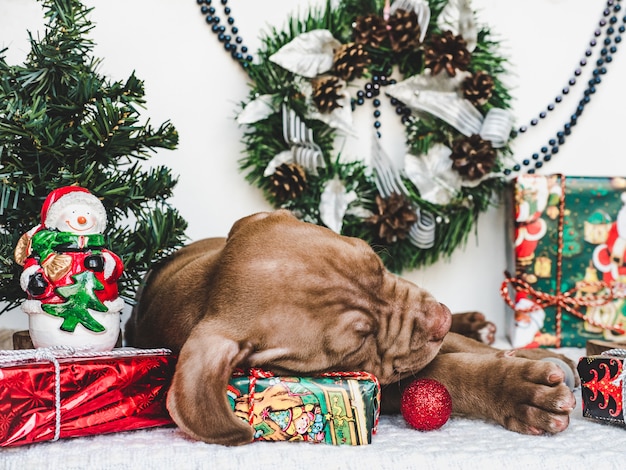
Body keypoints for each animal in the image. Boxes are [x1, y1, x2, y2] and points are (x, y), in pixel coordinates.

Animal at [124, 209, 576, 444]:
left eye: (377, 262)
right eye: (358, 341)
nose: (442, 318)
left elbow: (471, 351)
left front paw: (538, 355)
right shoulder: (384, 376)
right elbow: (450, 371)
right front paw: (522, 392)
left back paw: (477, 324)